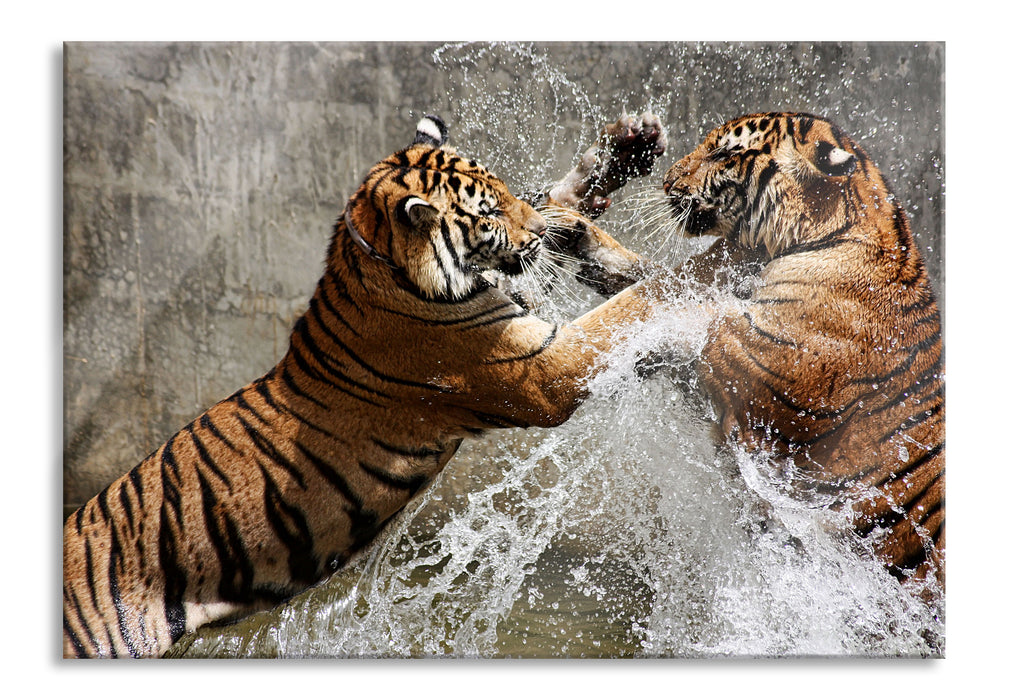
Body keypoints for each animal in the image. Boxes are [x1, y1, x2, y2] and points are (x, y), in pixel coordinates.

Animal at [62, 113, 673, 658]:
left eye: (503, 190)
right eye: (490, 211)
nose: (540, 234)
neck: (377, 260)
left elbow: (560, 215)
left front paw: (622, 150)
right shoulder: (542, 369)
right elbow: (630, 305)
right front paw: (690, 275)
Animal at [554, 112, 945, 593]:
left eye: (723, 153)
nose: (666, 181)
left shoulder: (754, 369)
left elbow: (677, 304)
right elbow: (665, 280)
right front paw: (577, 233)